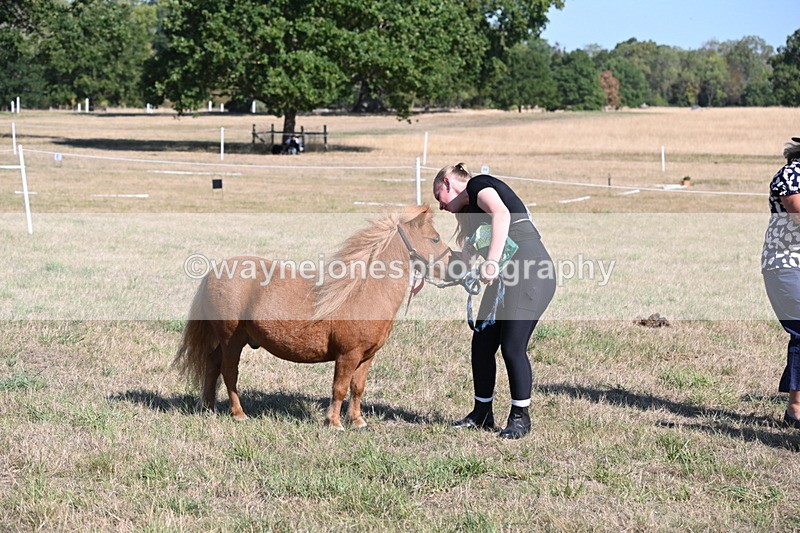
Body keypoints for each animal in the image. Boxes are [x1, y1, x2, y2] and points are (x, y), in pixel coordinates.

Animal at [174, 205, 451, 429]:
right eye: (435, 238)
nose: (455, 266)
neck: (362, 291)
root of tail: (215, 271)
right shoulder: (347, 355)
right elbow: (339, 388)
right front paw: (334, 423)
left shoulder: (366, 357)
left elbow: (357, 388)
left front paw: (357, 421)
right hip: (232, 339)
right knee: (229, 372)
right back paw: (238, 413)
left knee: (212, 364)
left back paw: (208, 407)